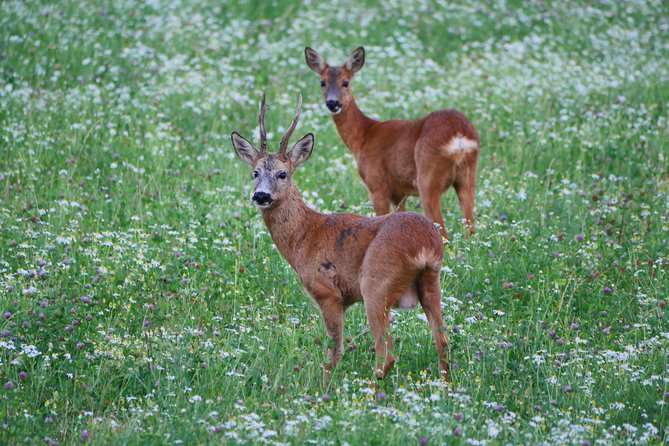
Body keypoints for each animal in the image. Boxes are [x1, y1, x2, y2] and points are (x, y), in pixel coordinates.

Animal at [230, 93, 450, 382]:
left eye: (282, 174)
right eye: (254, 173)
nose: (261, 195)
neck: (306, 234)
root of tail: (425, 245)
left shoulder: (328, 293)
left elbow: (333, 352)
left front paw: (324, 386)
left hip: (375, 283)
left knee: (387, 352)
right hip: (432, 283)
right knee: (443, 342)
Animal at [305, 46, 480, 241]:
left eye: (345, 82)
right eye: (322, 82)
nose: (332, 103)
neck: (364, 136)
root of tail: (458, 135)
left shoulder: (377, 184)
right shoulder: (399, 192)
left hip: (428, 177)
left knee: (443, 231)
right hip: (468, 176)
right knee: (471, 229)